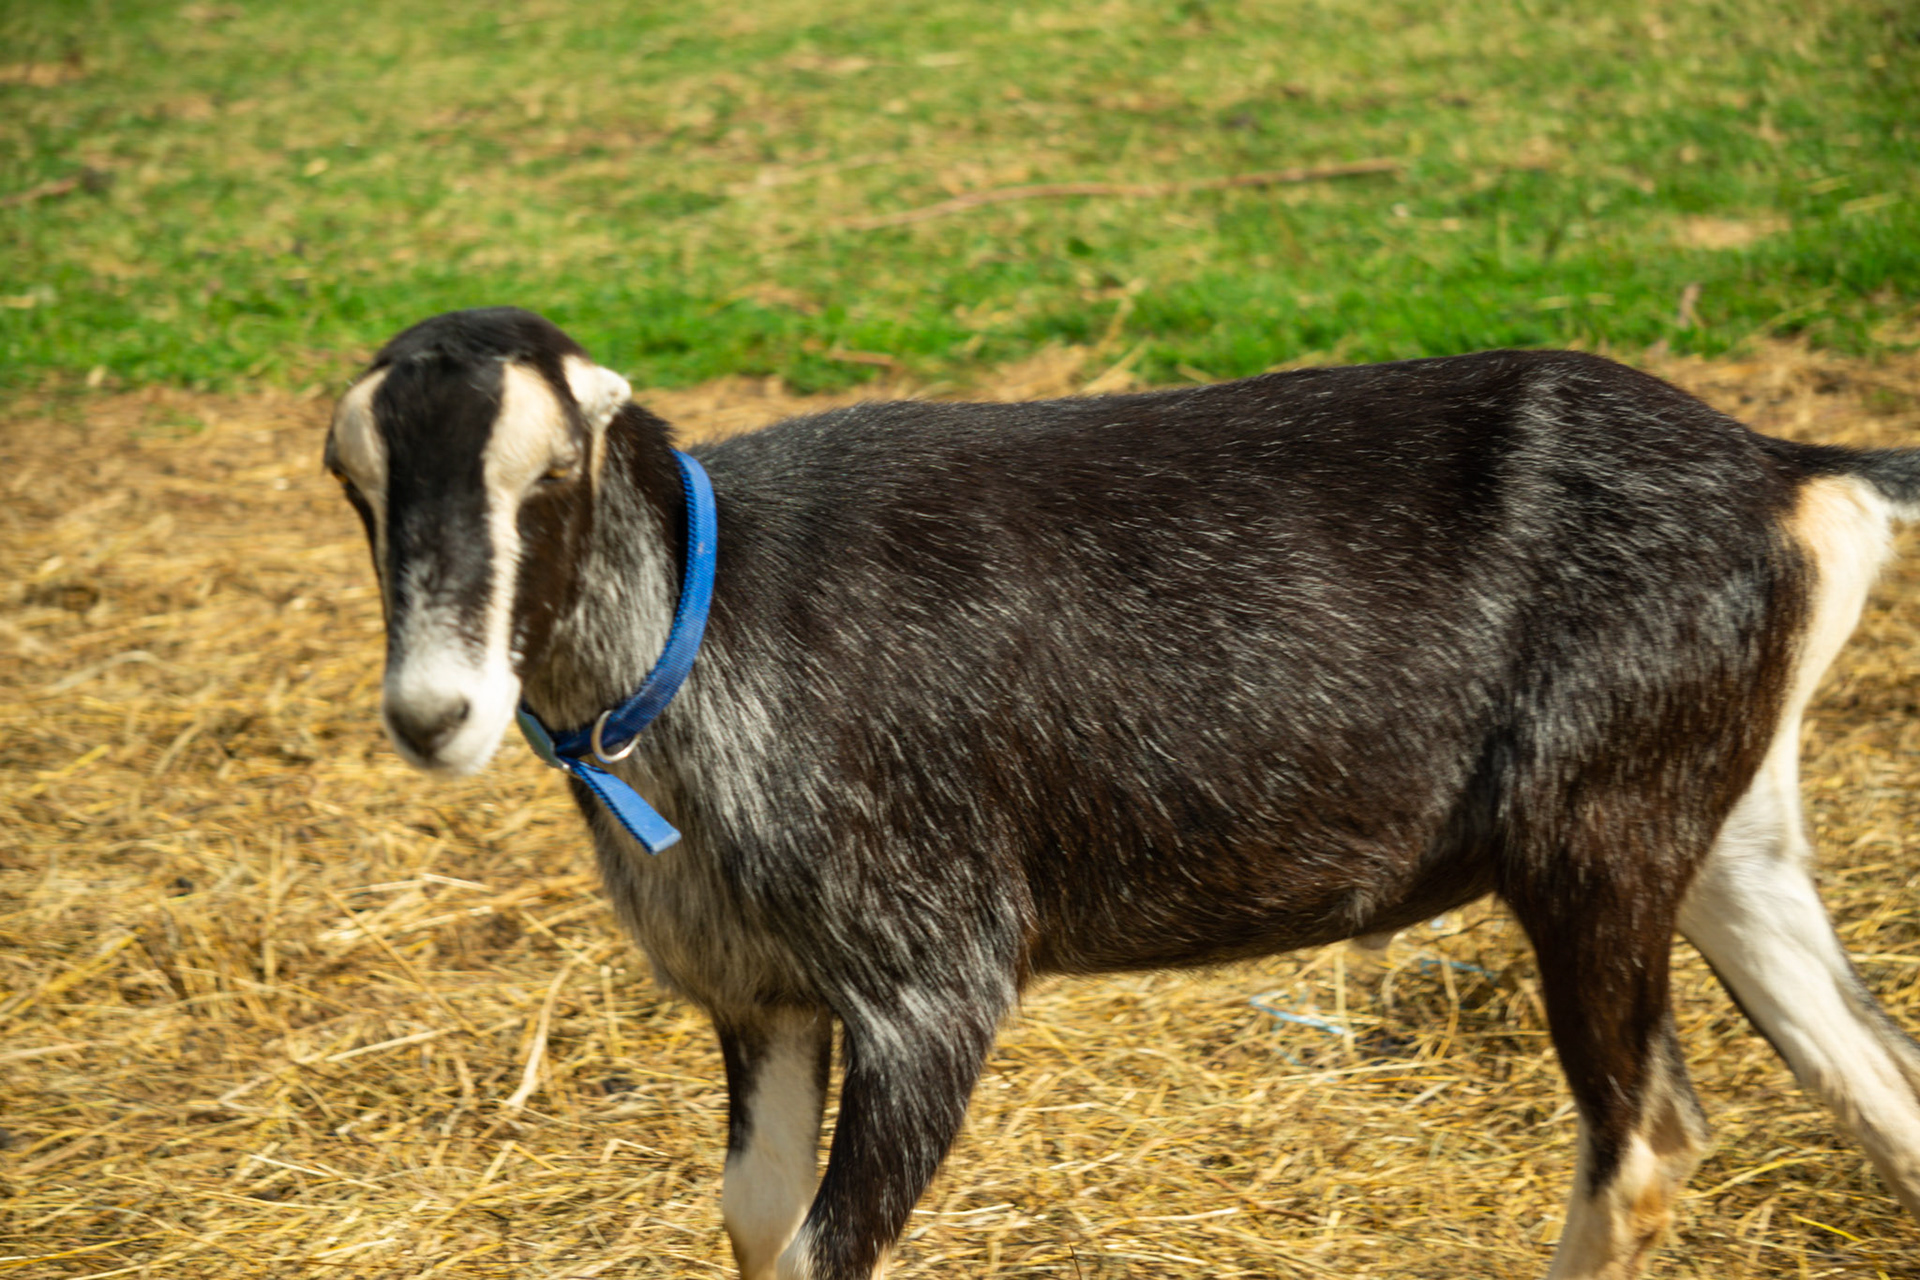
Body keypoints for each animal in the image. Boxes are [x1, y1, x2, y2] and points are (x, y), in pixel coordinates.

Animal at [325, 306, 1920, 1280]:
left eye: (548, 474)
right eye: (357, 485)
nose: (434, 712)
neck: (706, 622)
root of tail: (1792, 473)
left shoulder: (931, 978)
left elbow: (830, 1245)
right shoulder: (763, 993)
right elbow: (758, 1227)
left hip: (1595, 836)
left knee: (1644, 1139)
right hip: (1722, 831)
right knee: (1878, 1079)